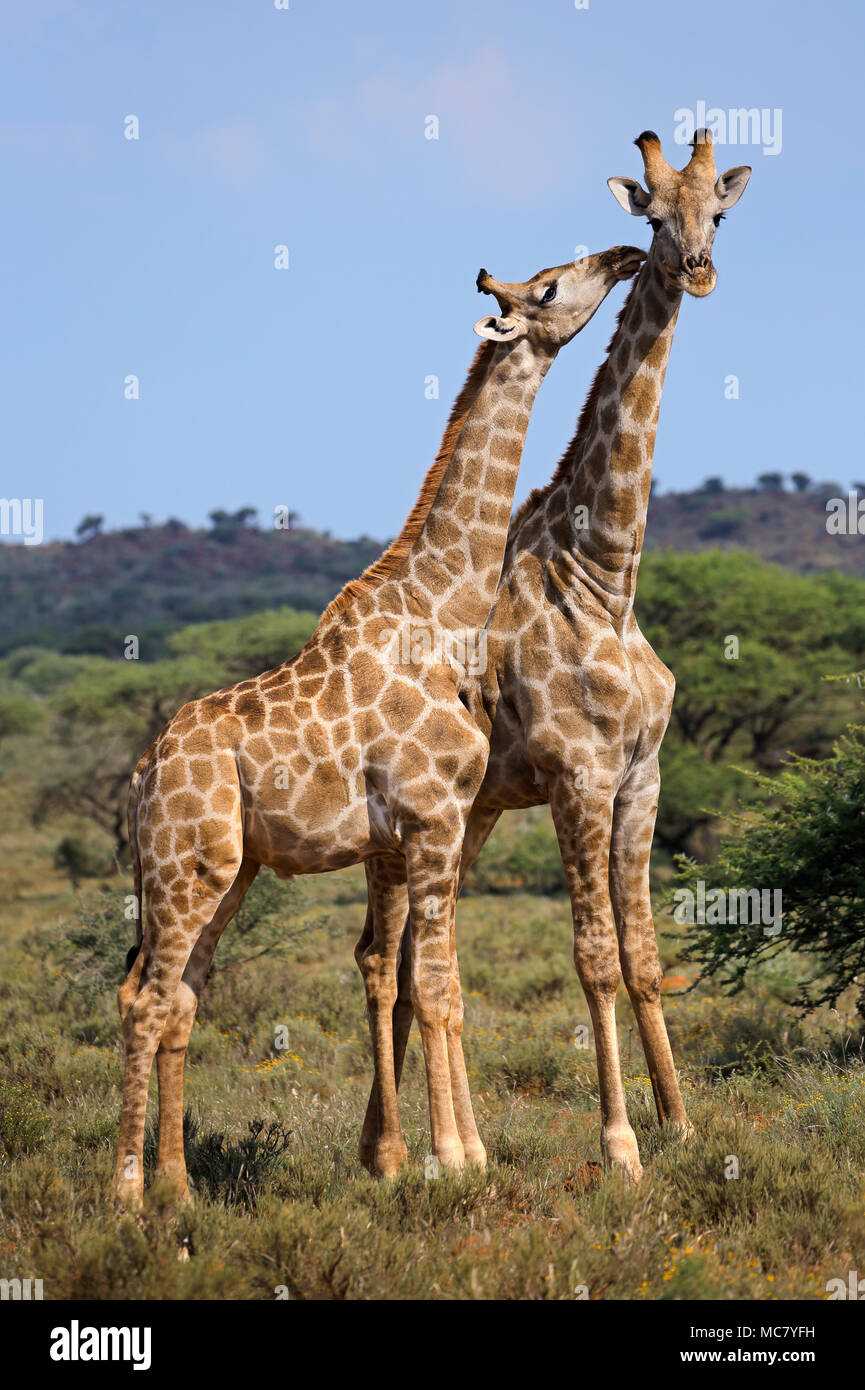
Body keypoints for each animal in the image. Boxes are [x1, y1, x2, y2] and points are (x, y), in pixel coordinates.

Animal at [111, 244, 645, 1207]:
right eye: (549, 286)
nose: (622, 255)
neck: (441, 609)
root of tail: (141, 776)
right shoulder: (431, 820)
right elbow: (430, 988)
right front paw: (451, 1162)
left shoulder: (431, 827)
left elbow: (438, 984)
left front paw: (442, 1154)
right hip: (181, 868)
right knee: (144, 999)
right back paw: (128, 1196)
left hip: (225, 871)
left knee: (180, 997)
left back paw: (177, 1188)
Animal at [358, 130, 751, 1181]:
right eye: (651, 215)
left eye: (718, 210)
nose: (696, 271)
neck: (604, 573)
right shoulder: (578, 775)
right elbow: (594, 958)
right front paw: (620, 1145)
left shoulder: (641, 775)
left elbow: (646, 956)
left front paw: (681, 1123)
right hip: (413, 822)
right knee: (383, 954)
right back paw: (397, 1151)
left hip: (478, 812)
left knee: (413, 953)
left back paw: (394, 1145)